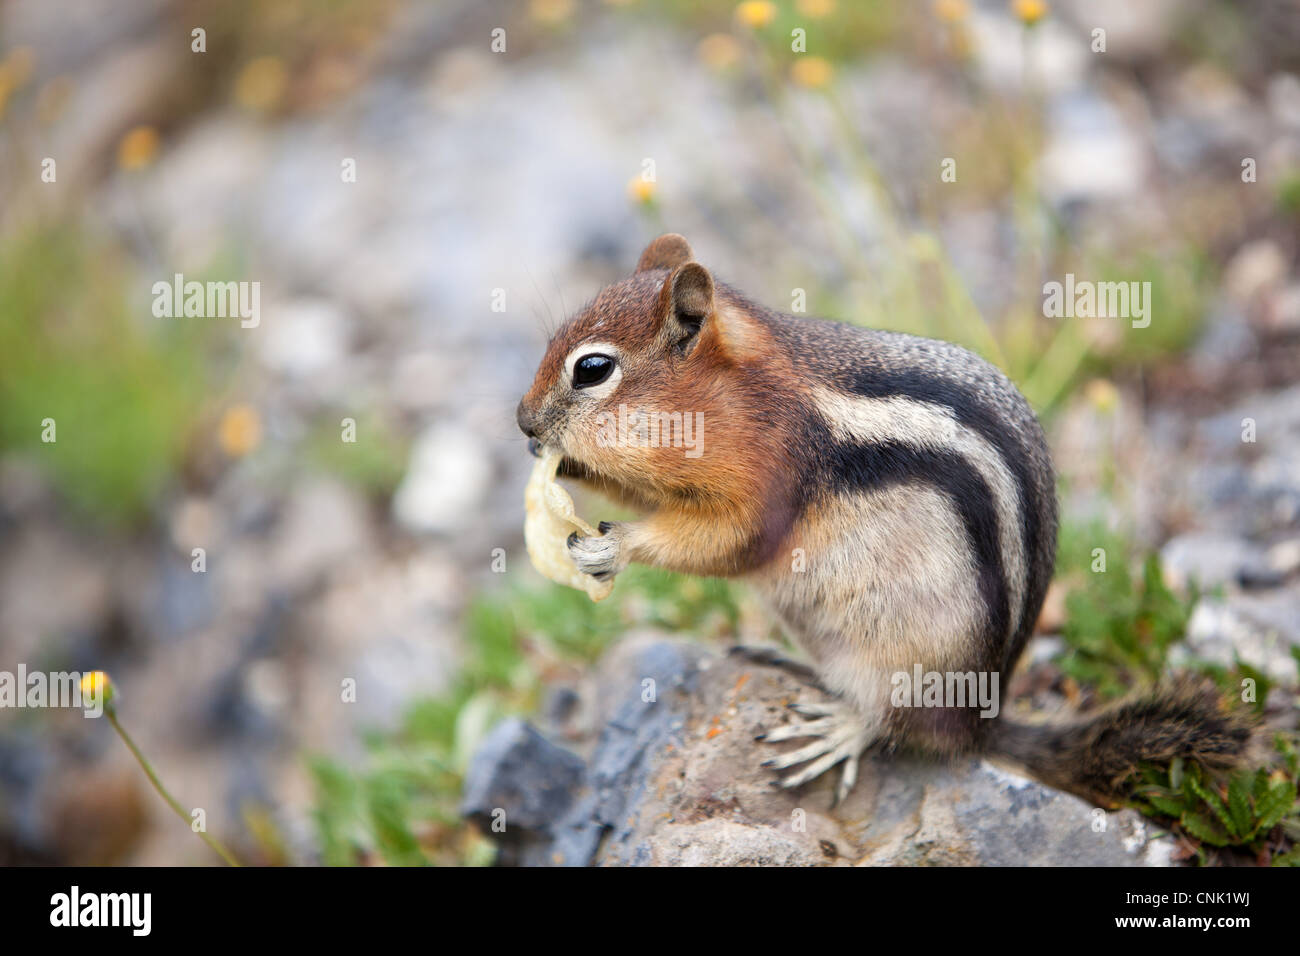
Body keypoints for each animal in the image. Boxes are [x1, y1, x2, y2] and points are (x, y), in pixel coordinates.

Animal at [514, 235, 1248, 806]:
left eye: (592, 369)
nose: (522, 421)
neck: (739, 392)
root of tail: (982, 720)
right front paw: (564, 465)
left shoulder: (771, 471)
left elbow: (733, 542)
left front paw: (614, 547)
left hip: (908, 657)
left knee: (897, 723)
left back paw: (838, 731)